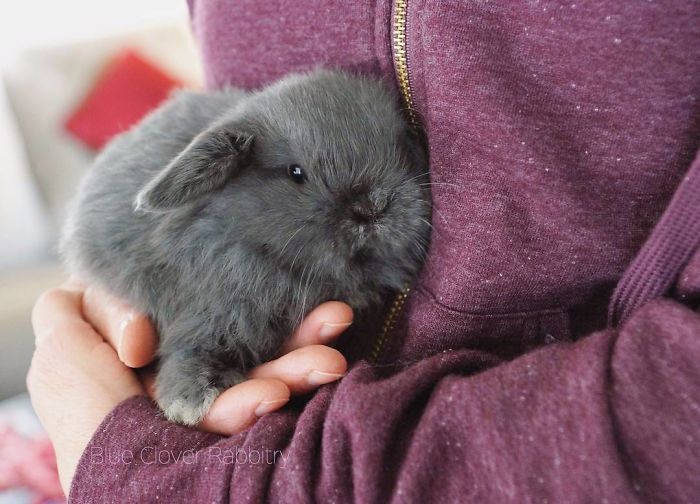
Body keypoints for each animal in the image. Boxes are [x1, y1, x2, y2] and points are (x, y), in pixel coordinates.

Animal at [61, 69, 432, 426]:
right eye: (296, 172)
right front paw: (187, 402)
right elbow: (190, 350)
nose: (372, 207)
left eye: (402, 146)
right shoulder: (208, 314)